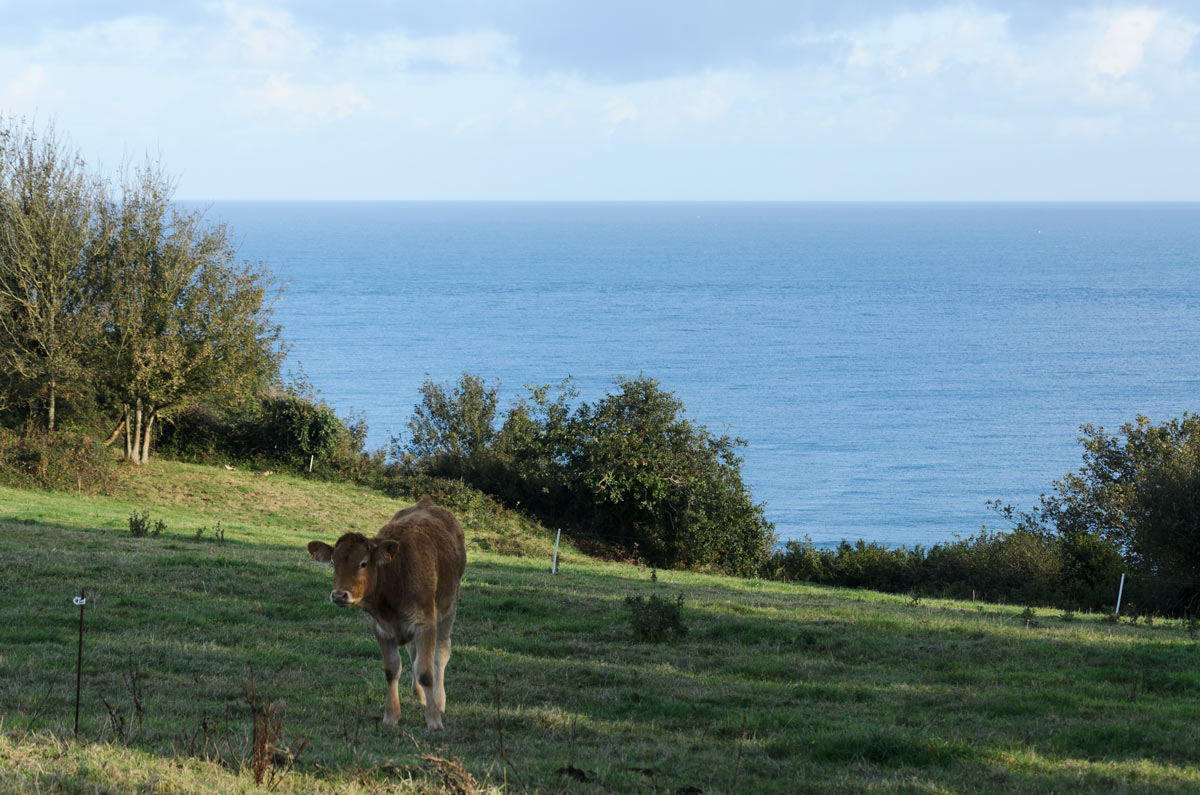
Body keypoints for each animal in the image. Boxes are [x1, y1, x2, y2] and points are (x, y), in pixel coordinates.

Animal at [307, 499, 465, 734]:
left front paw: (434, 720)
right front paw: (391, 717)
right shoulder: (380, 627)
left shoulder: (425, 623)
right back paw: (419, 697)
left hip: (449, 606)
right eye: (333, 563)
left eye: (363, 563)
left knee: (441, 653)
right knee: (414, 654)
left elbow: (426, 672)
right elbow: (392, 670)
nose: (339, 595)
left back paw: (439, 700)